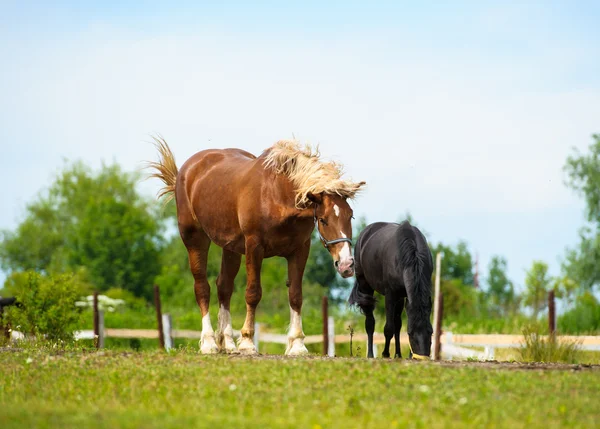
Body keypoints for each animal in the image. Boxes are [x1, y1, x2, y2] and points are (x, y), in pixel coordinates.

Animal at [149, 137, 366, 354]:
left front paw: (297, 344)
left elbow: (295, 295)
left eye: (350, 216)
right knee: (202, 286)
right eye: (323, 220)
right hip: (195, 239)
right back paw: (209, 342)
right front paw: (247, 341)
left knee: (224, 287)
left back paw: (228, 343)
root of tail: (186, 171)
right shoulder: (254, 247)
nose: (346, 265)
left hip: (231, 248)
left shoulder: (300, 250)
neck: (277, 194)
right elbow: (253, 293)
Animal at [350, 221, 434, 358]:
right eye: (410, 333)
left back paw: (398, 354)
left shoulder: (404, 296)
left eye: (431, 331)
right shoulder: (390, 295)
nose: (422, 356)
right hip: (365, 287)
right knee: (370, 322)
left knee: (397, 325)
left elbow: (397, 326)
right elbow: (389, 328)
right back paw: (370, 354)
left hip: (400, 298)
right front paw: (385, 354)